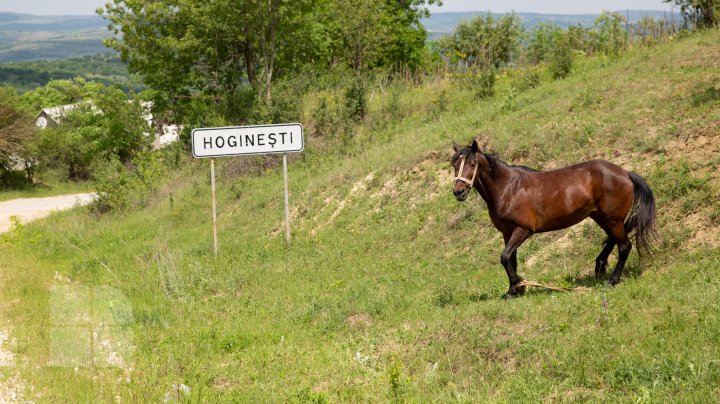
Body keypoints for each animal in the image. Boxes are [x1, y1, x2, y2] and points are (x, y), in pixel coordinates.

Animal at [452, 140, 656, 296]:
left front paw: (519, 284)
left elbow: (504, 257)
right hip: (601, 217)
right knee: (614, 239)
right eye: (454, 165)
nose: (459, 192)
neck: (508, 188)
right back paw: (599, 267)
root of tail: (625, 173)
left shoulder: (523, 230)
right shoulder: (507, 233)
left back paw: (612, 280)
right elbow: (511, 259)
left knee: (624, 246)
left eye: (472, 164)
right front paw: (514, 290)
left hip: (612, 219)